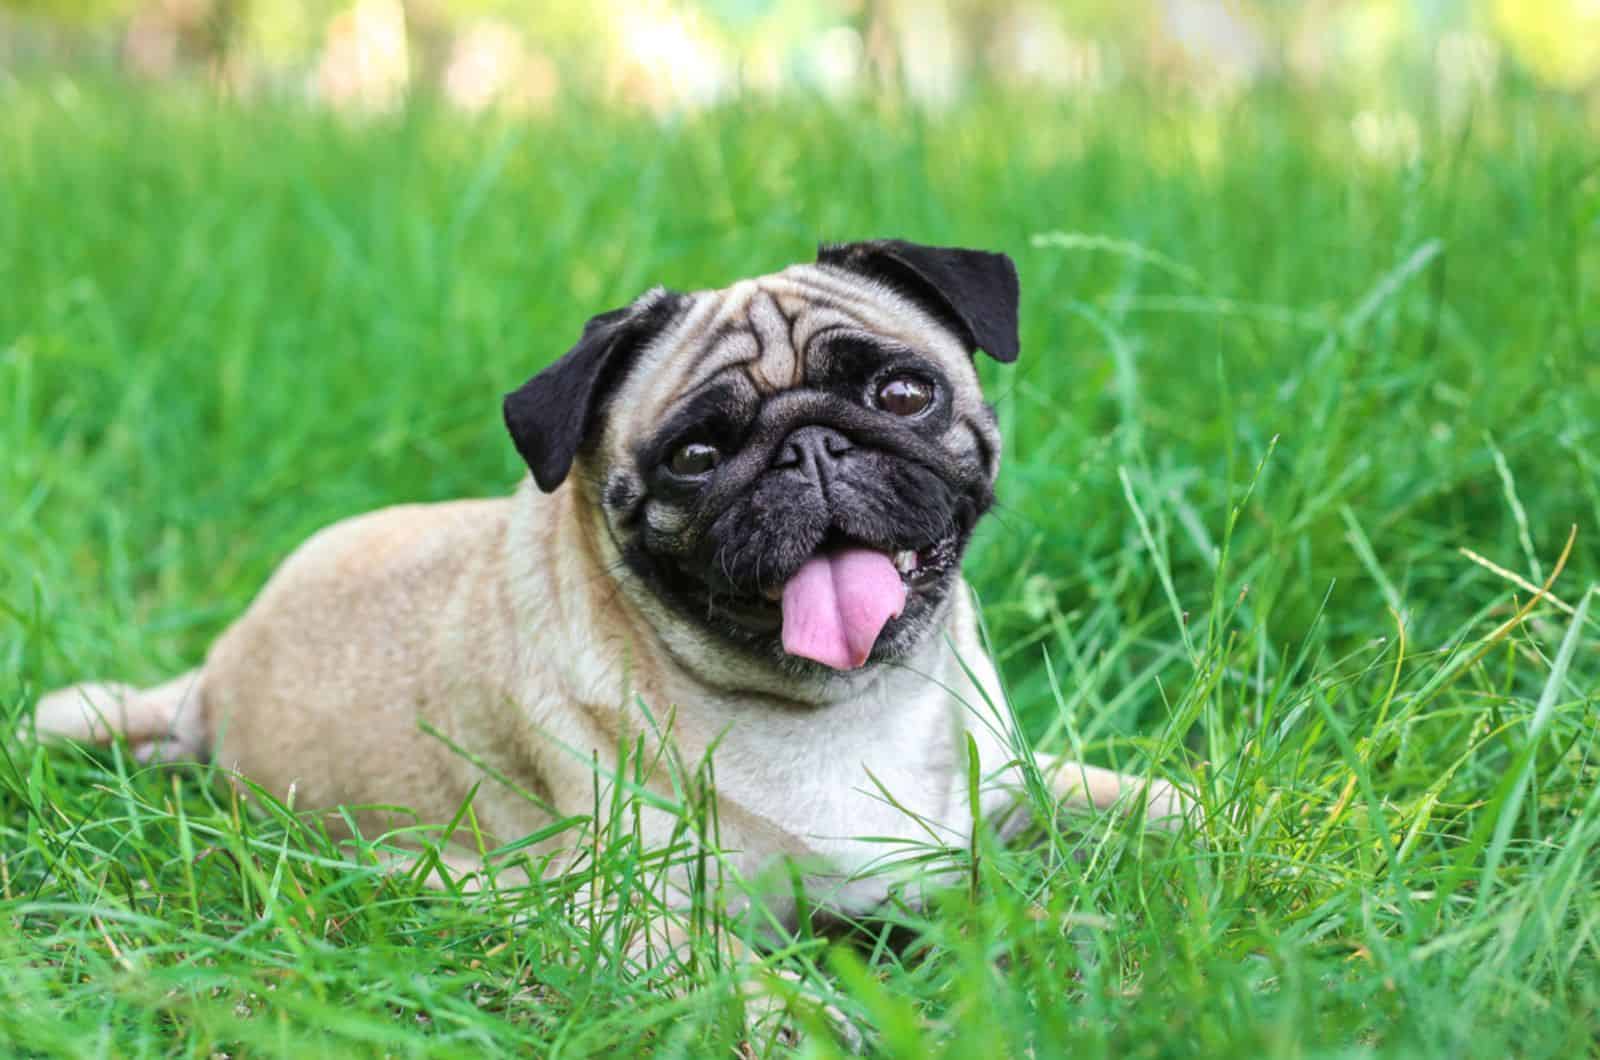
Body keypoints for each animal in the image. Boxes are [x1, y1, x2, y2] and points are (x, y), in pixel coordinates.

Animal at [34, 240, 1190, 922]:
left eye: (901, 392)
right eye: (696, 455)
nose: (807, 448)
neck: (847, 707)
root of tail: (213, 678)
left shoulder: (1009, 784)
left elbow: (1129, 795)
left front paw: (1216, 814)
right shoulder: (627, 913)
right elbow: (759, 994)